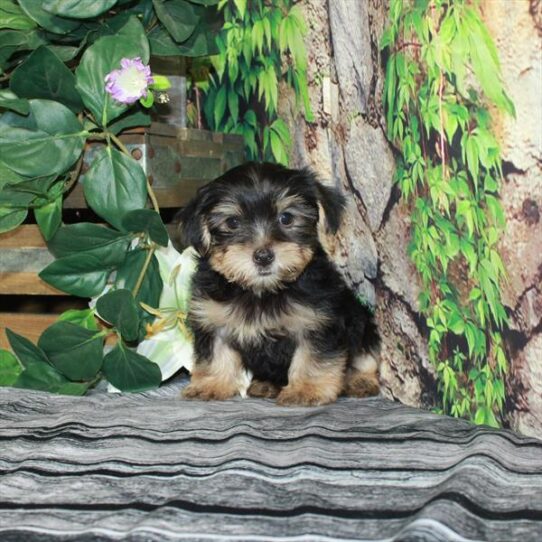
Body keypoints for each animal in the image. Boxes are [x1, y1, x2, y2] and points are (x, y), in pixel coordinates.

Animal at [176, 163, 380, 408]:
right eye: (233, 222)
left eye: (286, 218)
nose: (263, 256)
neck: (261, 291)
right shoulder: (213, 319)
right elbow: (215, 354)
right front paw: (210, 384)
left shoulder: (318, 321)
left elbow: (312, 358)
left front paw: (305, 390)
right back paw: (266, 385)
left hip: (362, 323)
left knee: (366, 357)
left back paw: (359, 381)